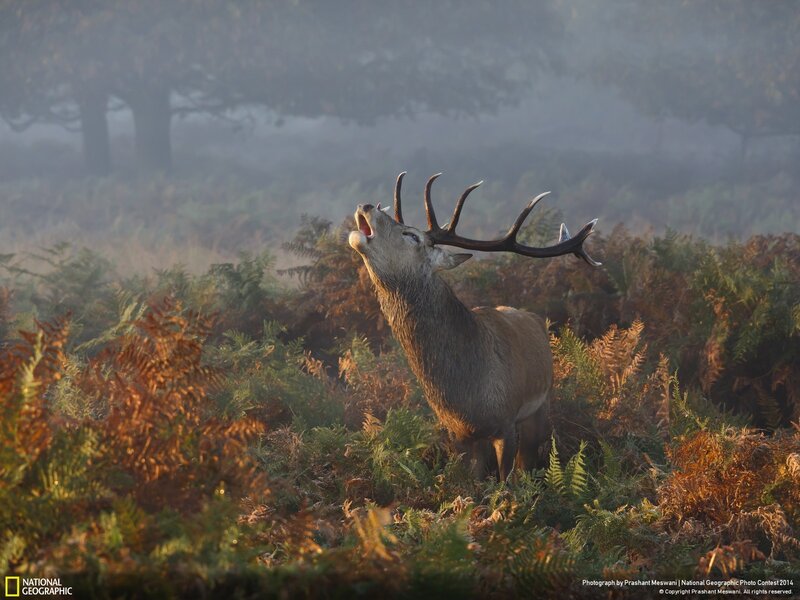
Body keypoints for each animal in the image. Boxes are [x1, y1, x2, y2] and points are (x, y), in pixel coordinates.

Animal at [348, 172, 600, 480]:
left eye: (412, 235)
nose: (365, 205)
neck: (467, 394)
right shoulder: (457, 434)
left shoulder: (506, 422)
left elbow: (506, 481)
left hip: (541, 405)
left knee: (528, 459)